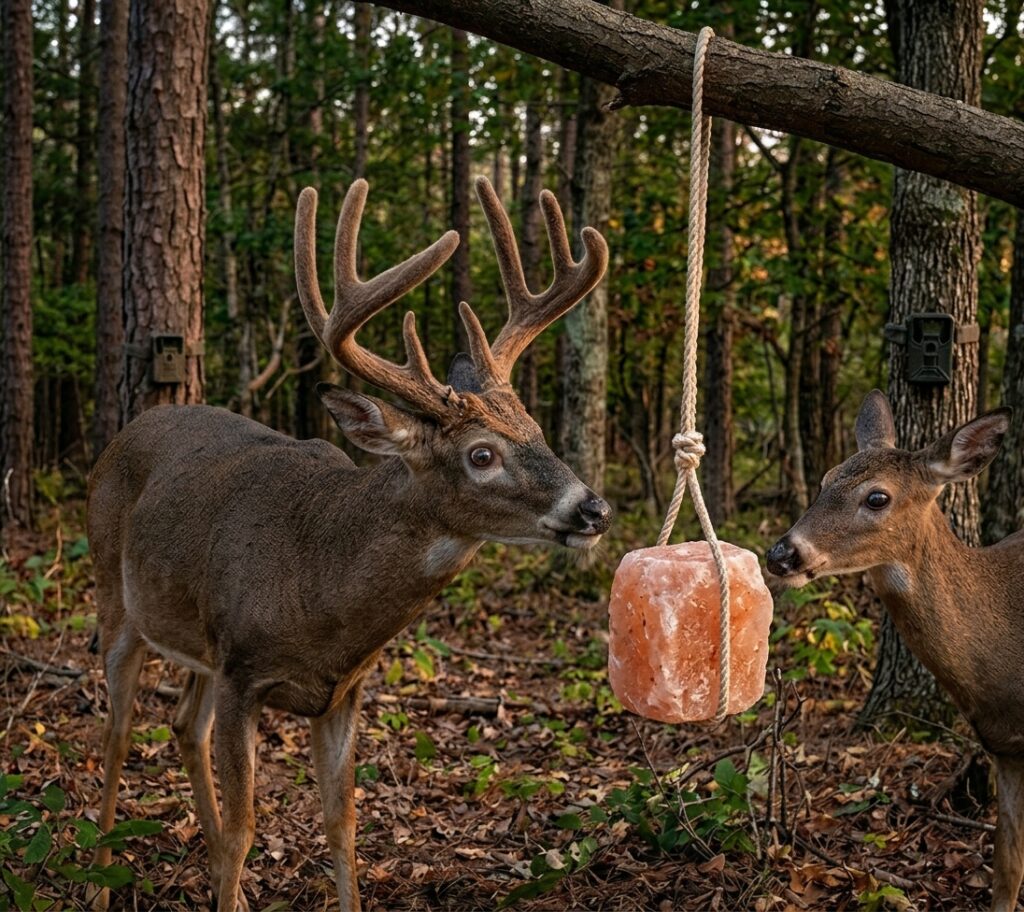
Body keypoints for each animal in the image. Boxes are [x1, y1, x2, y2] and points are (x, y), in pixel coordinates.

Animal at [86, 174, 612, 912]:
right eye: (481, 455)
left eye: (535, 428)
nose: (593, 508)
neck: (322, 589)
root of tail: (124, 434)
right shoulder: (243, 673)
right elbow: (249, 827)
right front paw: (229, 865)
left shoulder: (340, 692)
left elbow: (342, 822)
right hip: (115, 598)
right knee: (117, 733)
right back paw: (103, 878)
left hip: (197, 641)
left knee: (184, 725)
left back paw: (224, 886)